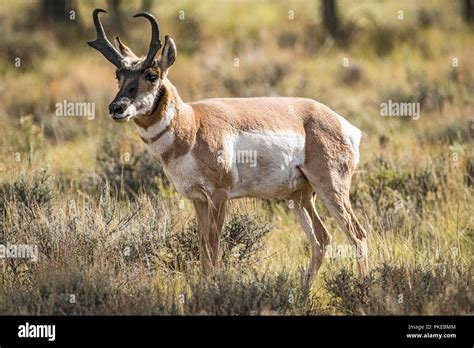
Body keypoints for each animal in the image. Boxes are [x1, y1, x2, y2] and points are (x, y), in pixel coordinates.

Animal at [89, 8, 368, 282]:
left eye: (152, 75)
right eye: (118, 75)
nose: (117, 108)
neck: (192, 124)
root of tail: (341, 123)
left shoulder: (219, 195)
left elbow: (213, 247)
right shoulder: (198, 199)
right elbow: (202, 247)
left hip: (330, 188)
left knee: (357, 234)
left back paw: (361, 285)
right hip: (300, 196)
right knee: (322, 239)